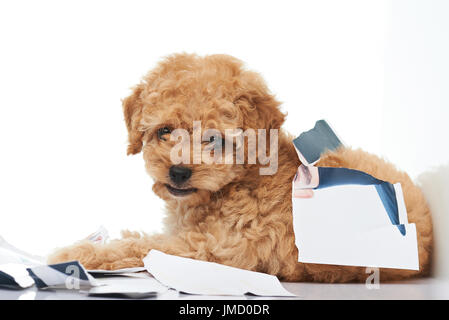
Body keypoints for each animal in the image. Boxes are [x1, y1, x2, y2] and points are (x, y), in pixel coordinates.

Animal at [48, 53, 430, 282]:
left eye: (214, 140)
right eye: (165, 131)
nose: (178, 172)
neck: (233, 184)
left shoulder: (208, 249)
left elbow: (140, 248)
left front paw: (75, 254)